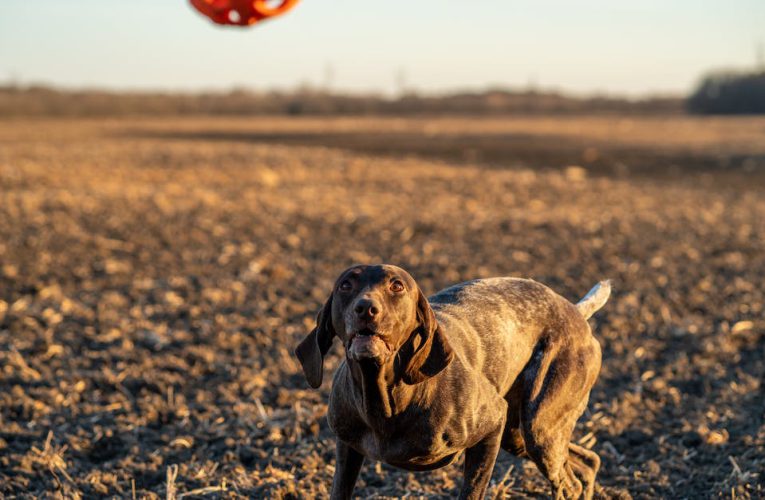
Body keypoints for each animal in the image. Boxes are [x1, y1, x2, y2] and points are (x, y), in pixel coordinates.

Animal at [294, 264, 608, 498]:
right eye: (346, 285)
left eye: (397, 286)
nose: (366, 308)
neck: (386, 399)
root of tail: (575, 311)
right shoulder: (347, 448)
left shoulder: (492, 425)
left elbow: (471, 492)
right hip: (522, 435)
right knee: (588, 462)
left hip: (537, 429)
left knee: (569, 483)